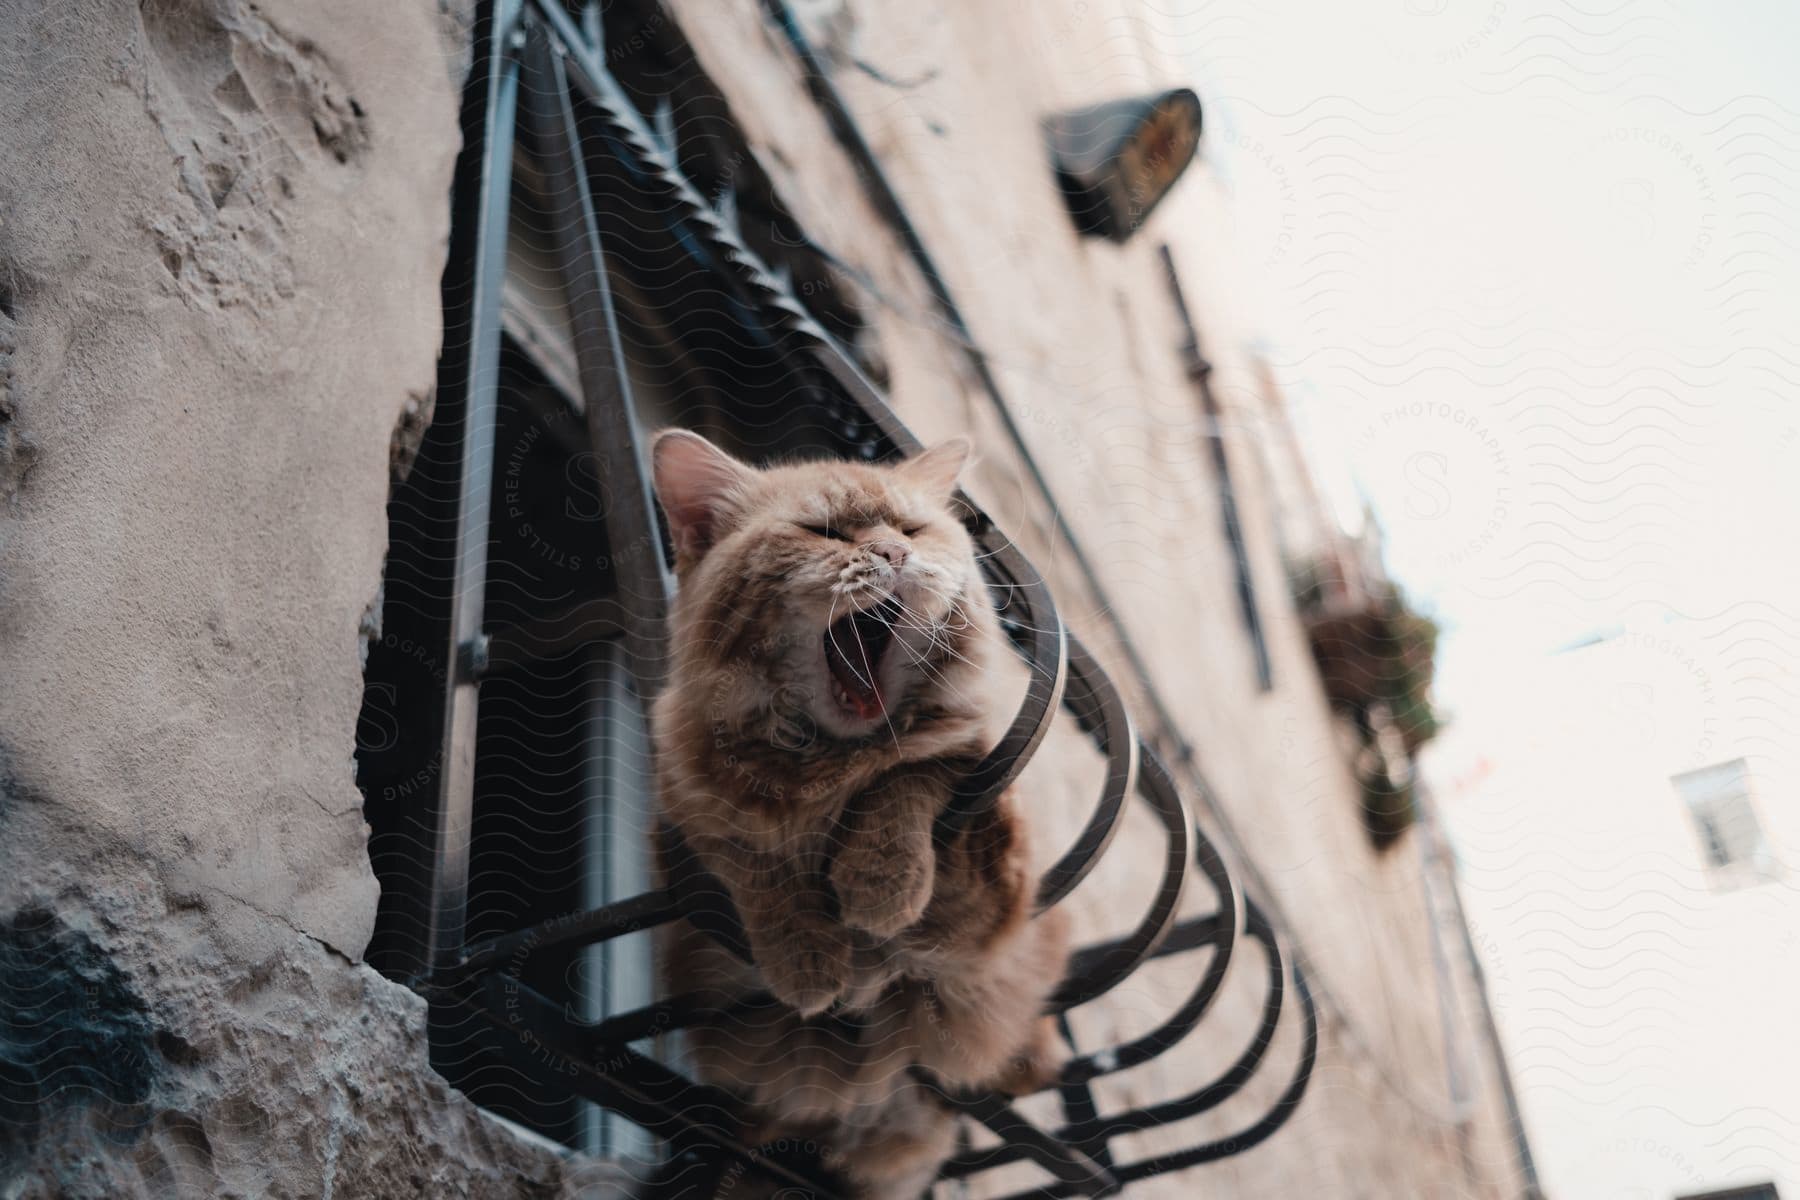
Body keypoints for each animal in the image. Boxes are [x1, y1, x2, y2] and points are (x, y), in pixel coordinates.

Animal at [651, 429, 1065, 1194]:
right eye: (824, 532)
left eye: (910, 530)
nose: (894, 556)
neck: (819, 765)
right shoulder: (683, 814)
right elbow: (756, 862)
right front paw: (807, 960)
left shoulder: (990, 855)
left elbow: (908, 776)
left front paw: (879, 885)